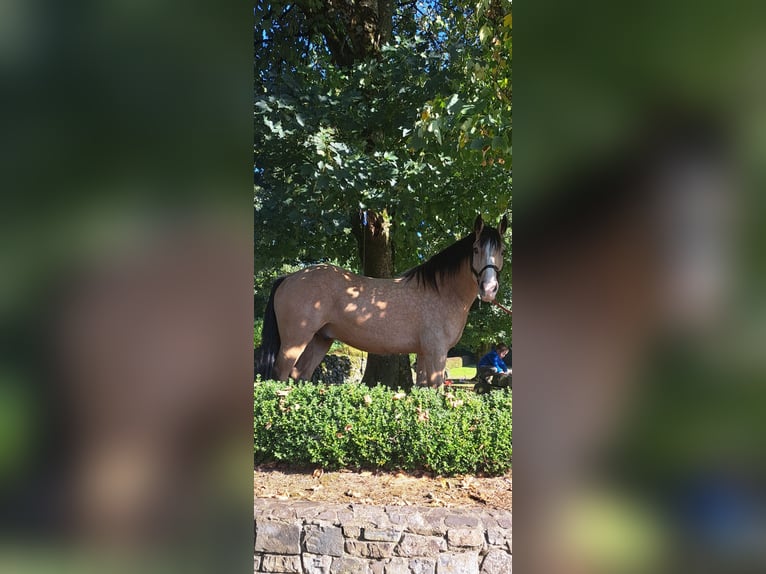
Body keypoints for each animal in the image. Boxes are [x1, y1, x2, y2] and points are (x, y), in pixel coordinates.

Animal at [258, 217, 510, 392]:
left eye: (502, 250)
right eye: (476, 249)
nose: (489, 289)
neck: (442, 292)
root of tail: (289, 278)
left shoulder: (423, 353)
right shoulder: (437, 352)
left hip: (321, 340)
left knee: (299, 375)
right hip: (294, 341)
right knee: (281, 375)